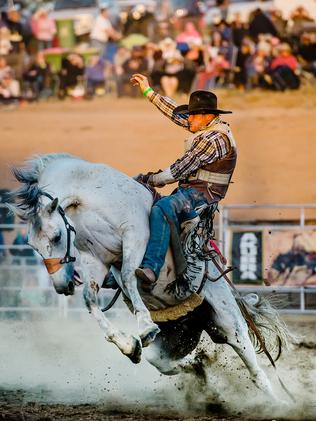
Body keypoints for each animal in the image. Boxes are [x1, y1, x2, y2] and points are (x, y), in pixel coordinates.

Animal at [8, 153, 292, 398]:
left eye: (57, 236)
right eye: (33, 245)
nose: (60, 285)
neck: (88, 194)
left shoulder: (135, 236)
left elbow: (129, 276)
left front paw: (144, 328)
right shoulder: (95, 259)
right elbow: (90, 299)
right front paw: (128, 345)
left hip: (229, 322)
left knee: (256, 372)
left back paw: (278, 403)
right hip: (180, 336)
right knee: (167, 363)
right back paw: (196, 371)